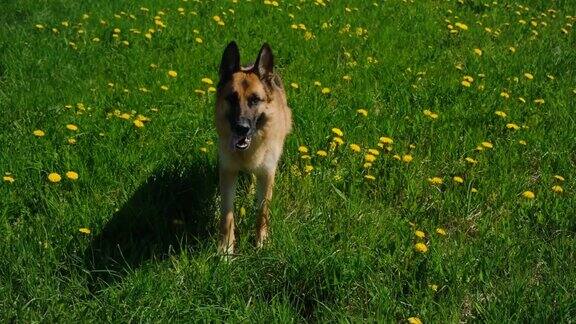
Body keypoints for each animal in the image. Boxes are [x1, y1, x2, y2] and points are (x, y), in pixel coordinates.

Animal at [215, 41, 292, 256]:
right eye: (231, 98)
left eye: (255, 100)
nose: (241, 128)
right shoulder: (228, 172)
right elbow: (227, 215)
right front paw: (226, 249)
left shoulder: (267, 175)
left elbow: (262, 213)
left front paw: (261, 243)